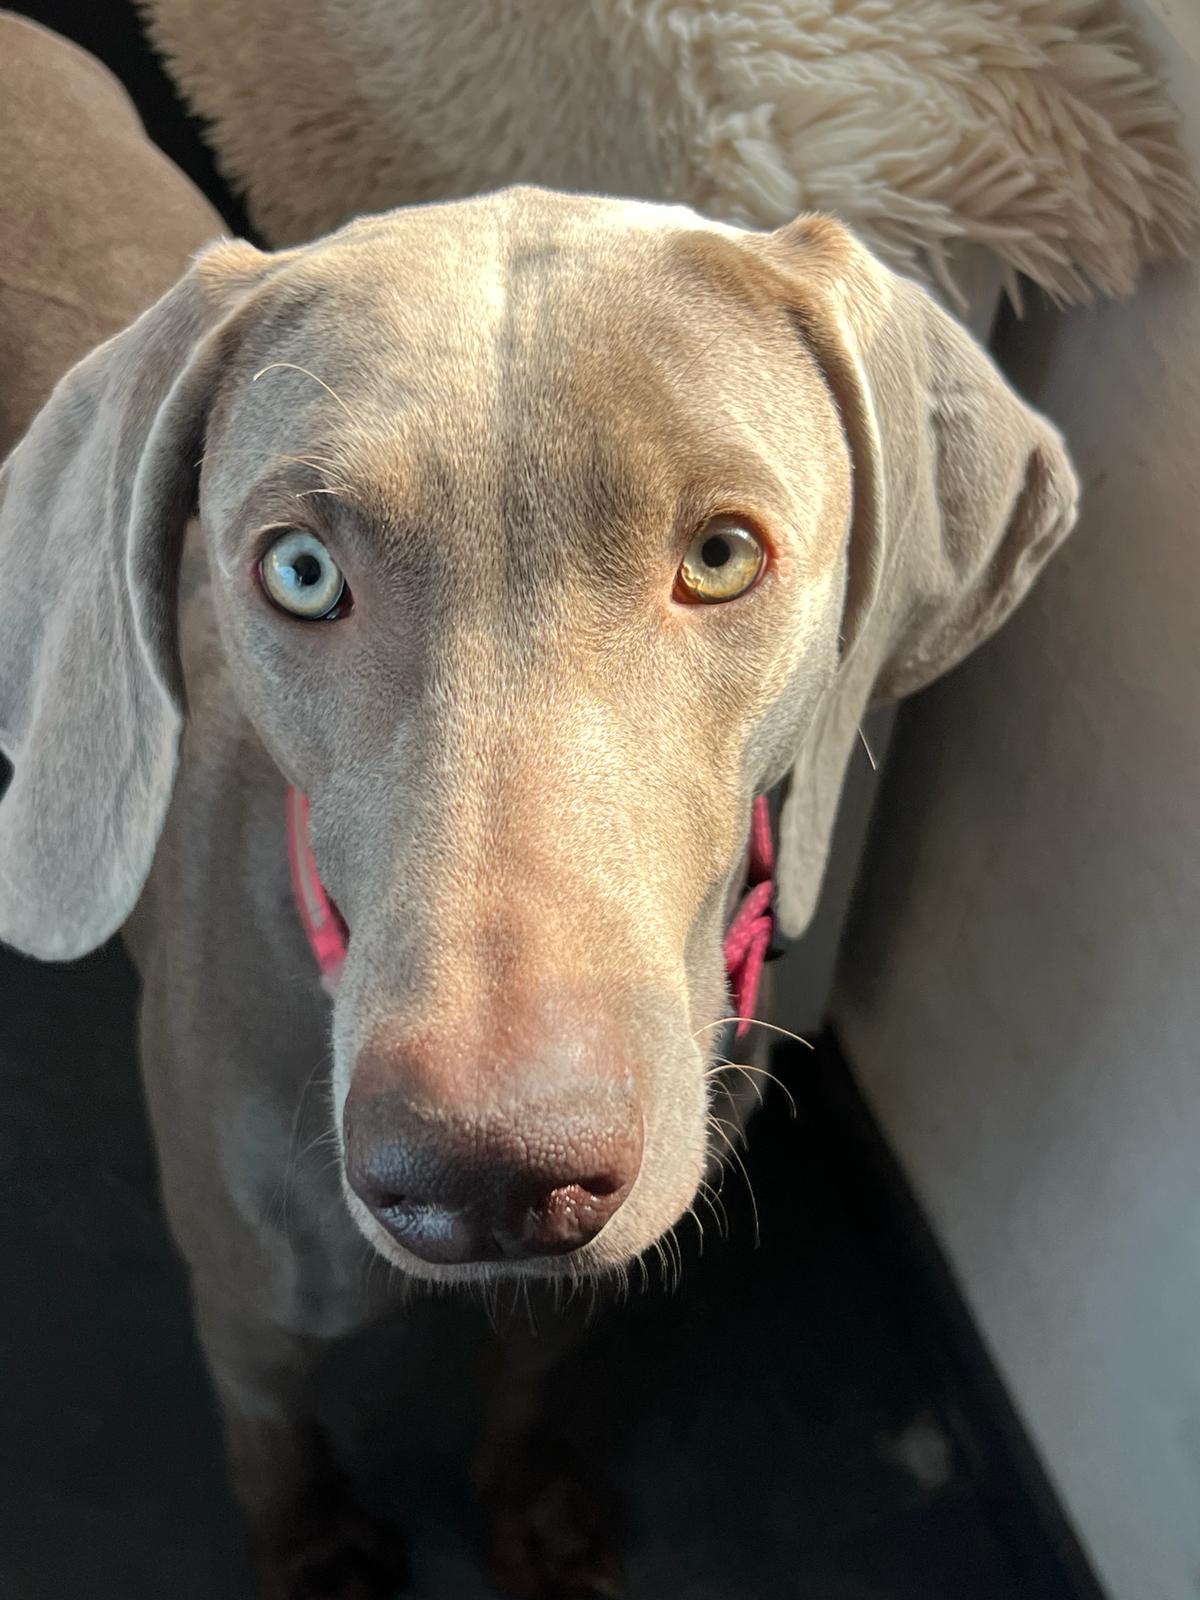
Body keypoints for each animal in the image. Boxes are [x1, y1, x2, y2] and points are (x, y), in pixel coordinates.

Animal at [0, 127, 1078, 1597]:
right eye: (298, 570)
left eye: (721, 554)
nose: (492, 1174)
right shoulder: (246, 1288)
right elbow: (272, 1428)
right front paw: (316, 1547)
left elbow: (533, 1372)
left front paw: (531, 1506)